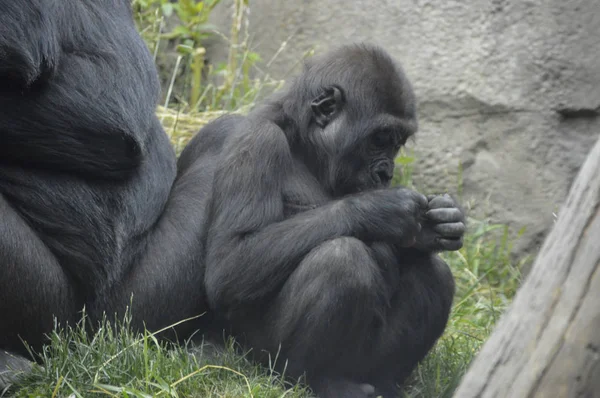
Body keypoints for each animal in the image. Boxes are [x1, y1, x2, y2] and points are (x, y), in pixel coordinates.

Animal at [178, 42, 464, 396]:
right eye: (380, 139)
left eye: (398, 143)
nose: (386, 173)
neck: (304, 143)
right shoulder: (257, 141)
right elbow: (232, 262)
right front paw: (380, 209)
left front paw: (436, 225)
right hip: (258, 358)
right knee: (340, 259)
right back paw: (316, 380)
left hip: (361, 363)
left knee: (432, 273)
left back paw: (383, 381)